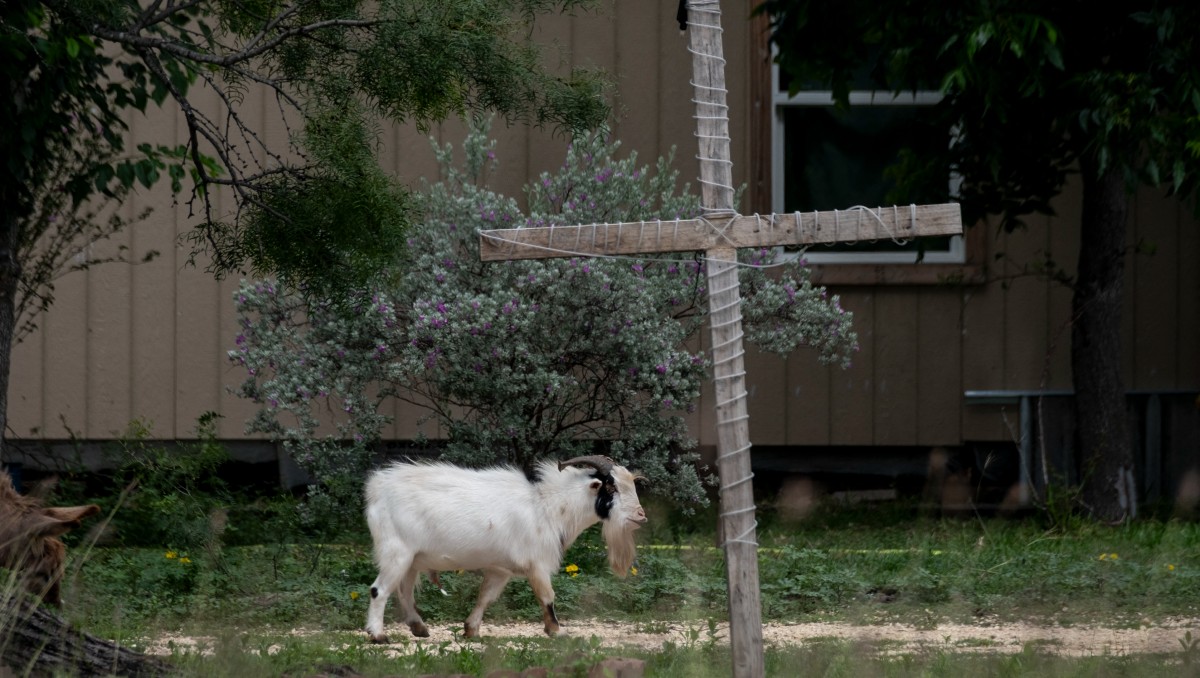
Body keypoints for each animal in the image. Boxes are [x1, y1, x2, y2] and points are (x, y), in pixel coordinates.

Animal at [363, 455, 647, 641]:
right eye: (611, 487)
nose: (641, 516)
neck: (549, 507)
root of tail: (377, 490)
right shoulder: (538, 564)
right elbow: (547, 596)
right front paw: (556, 630)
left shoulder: (500, 569)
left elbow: (485, 597)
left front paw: (471, 629)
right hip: (397, 552)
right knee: (379, 590)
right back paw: (378, 635)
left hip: (412, 559)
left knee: (404, 592)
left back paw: (419, 628)